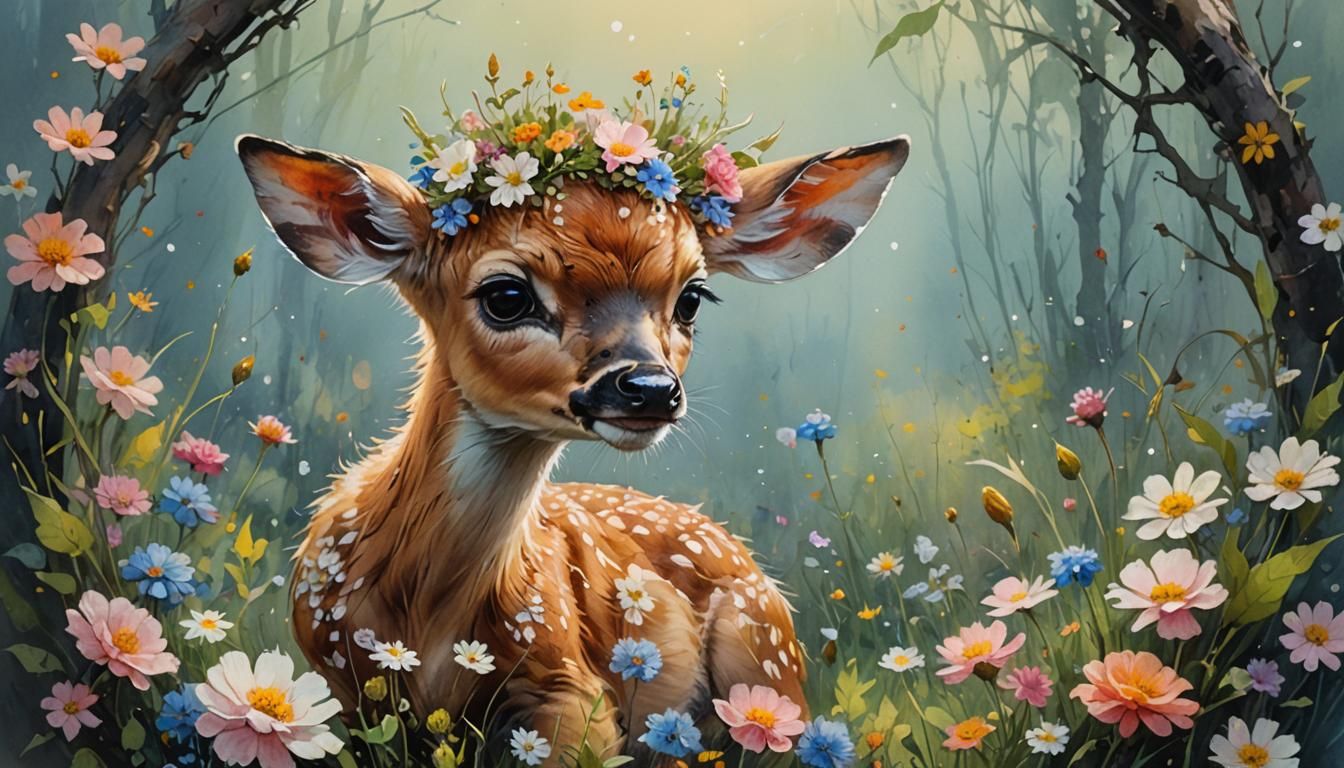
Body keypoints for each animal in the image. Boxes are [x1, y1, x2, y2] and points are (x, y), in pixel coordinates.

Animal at [236, 129, 909, 763]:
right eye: (507, 296)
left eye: (692, 297)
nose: (650, 388)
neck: (427, 612)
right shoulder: (344, 691)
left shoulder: (567, 683)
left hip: (768, 664)